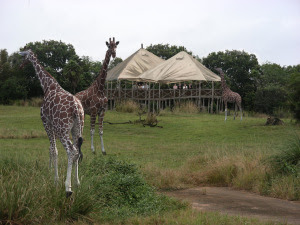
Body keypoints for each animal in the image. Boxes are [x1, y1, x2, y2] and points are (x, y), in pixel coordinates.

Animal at [18, 49, 84, 197]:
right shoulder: (53, 125)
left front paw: (55, 180)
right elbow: (51, 149)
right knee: (77, 151)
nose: (20, 66)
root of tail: (76, 108)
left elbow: (54, 151)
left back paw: (68, 188)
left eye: (24, 55)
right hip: (77, 128)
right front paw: (53, 175)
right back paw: (76, 183)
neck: (48, 86)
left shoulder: (46, 122)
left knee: (71, 150)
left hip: (63, 129)